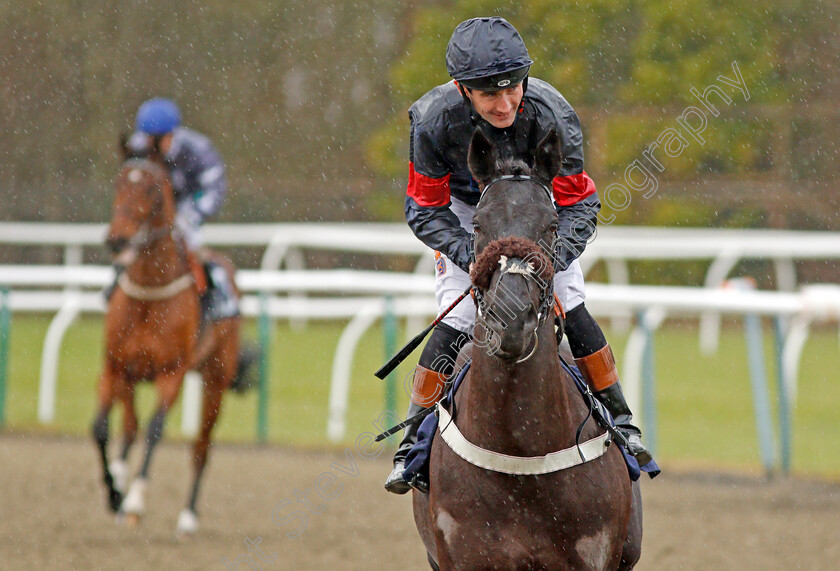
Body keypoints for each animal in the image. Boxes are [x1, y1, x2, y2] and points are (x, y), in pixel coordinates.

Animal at [94, 136, 248, 540]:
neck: (150, 291)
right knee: (128, 429)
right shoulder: (115, 367)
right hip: (132, 378)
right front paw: (114, 493)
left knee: (201, 447)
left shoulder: (172, 373)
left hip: (215, 379)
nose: (117, 239)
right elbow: (102, 428)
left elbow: (154, 430)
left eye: (149, 187)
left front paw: (134, 500)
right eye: (119, 182)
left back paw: (187, 517)